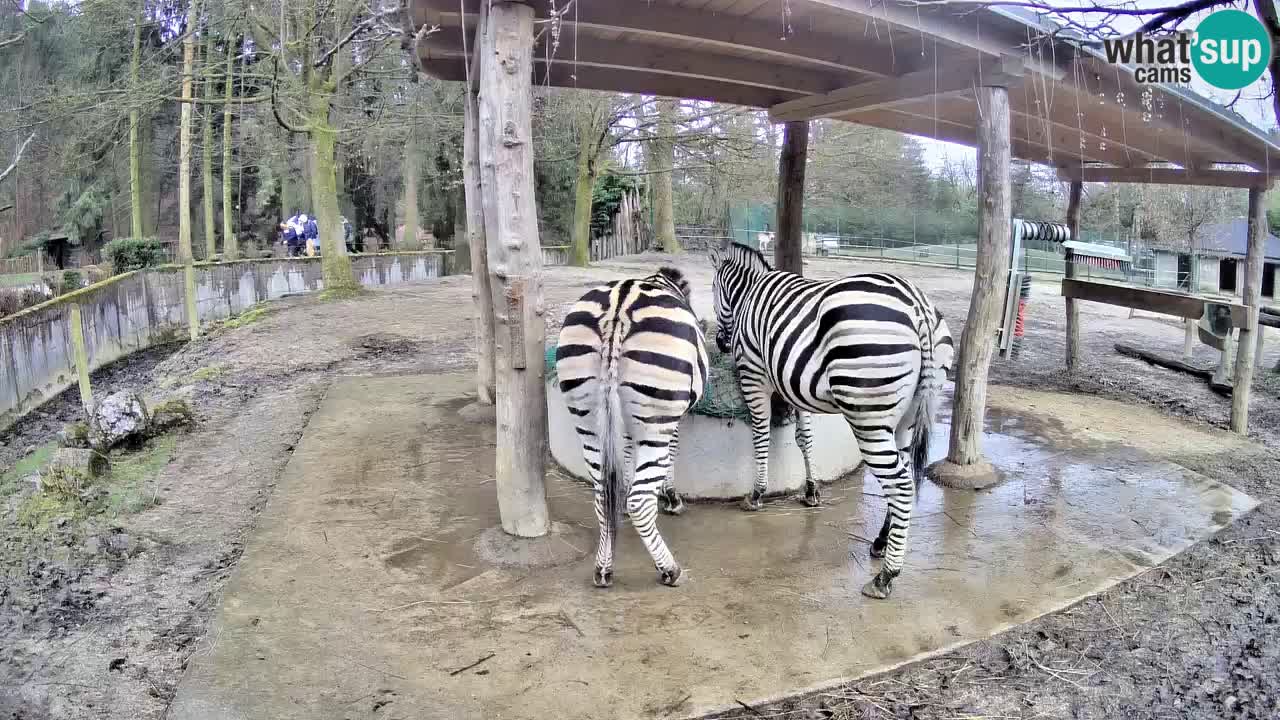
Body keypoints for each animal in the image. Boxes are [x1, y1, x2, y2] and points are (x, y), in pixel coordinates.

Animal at [552, 266, 711, 586]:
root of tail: (617, 311)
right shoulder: (672, 420)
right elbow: (670, 456)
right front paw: (671, 497)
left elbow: (624, 457)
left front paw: (622, 498)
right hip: (656, 418)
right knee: (641, 501)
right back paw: (669, 570)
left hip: (588, 419)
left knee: (601, 494)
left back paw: (603, 568)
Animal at [706, 243, 957, 597]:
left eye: (714, 290)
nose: (720, 343)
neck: (751, 293)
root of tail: (918, 305)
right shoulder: (793, 381)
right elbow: (804, 438)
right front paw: (811, 491)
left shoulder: (754, 373)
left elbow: (761, 435)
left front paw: (756, 495)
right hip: (907, 417)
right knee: (904, 474)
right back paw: (880, 543)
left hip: (868, 415)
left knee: (901, 485)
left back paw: (886, 577)